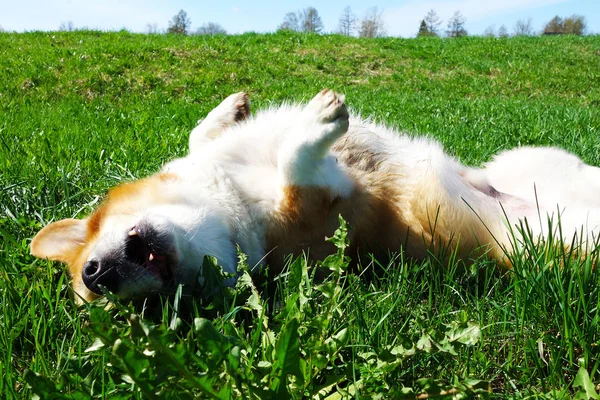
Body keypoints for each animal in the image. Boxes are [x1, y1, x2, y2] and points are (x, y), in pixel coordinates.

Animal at [30, 90, 600, 304]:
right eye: (147, 311)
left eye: (88, 251)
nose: (96, 278)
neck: (228, 203)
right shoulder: (328, 201)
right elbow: (297, 161)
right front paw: (322, 118)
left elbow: (198, 137)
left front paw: (228, 110)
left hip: (522, 160)